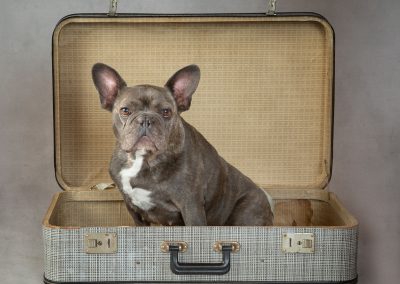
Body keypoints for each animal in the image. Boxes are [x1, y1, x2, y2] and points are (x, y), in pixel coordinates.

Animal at [91, 62, 274, 226]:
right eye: (125, 110)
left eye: (166, 112)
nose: (146, 119)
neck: (144, 159)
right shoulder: (134, 211)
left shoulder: (191, 207)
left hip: (247, 211)